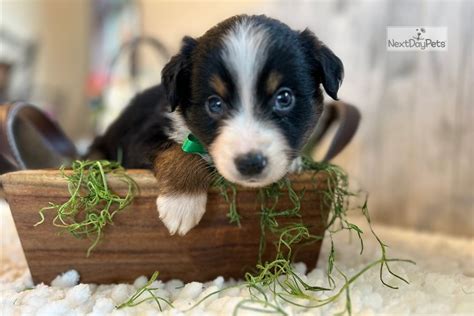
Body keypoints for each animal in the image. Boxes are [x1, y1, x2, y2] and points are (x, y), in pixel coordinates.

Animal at [89, 14, 342, 236]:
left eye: (284, 98)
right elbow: (180, 152)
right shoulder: (140, 137)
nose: (250, 163)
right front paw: (182, 203)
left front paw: (295, 163)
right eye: (215, 104)